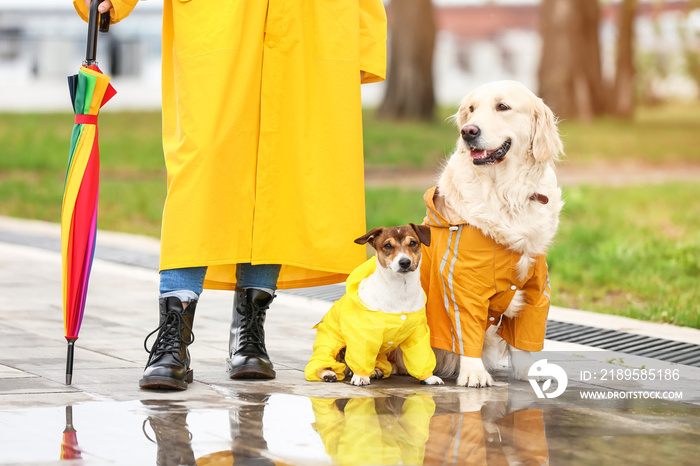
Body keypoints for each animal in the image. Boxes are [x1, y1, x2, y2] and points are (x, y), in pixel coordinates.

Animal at [306, 224, 442, 388]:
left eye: (413, 243)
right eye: (387, 245)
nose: (405, 262)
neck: (401, 291)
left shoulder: (418, 335)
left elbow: (421, 356)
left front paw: (429, 377)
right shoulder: (363, 336)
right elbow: (361, 357)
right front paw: (361, 376)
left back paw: (375, 370)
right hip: (331, 345)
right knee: (322, 364)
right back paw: (328, 373)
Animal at [422, 80, 564, 386]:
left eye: (502, 106)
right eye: (471, 109)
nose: (468, 131)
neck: (506, 192)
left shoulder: (536, 285)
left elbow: (525, 336)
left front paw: (528, 371)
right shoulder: (462, 283)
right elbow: (466, 331)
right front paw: (474, 372)